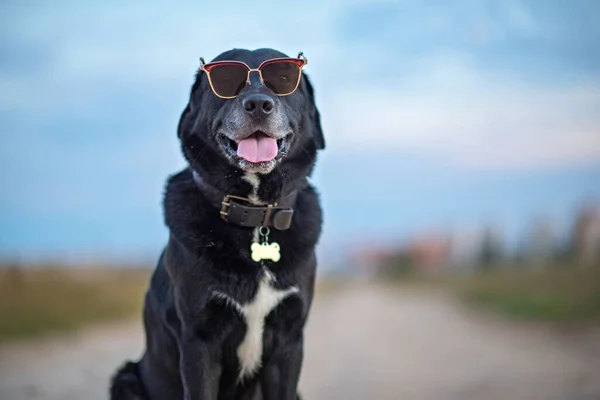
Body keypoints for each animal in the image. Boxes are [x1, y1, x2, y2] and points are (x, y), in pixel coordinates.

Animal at [108, 47, 324, 400]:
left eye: (283, 77)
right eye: (225, 79)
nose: (258, 104)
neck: (255, 215)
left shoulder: (290, 342)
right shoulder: (199, 341)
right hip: (125, 379)